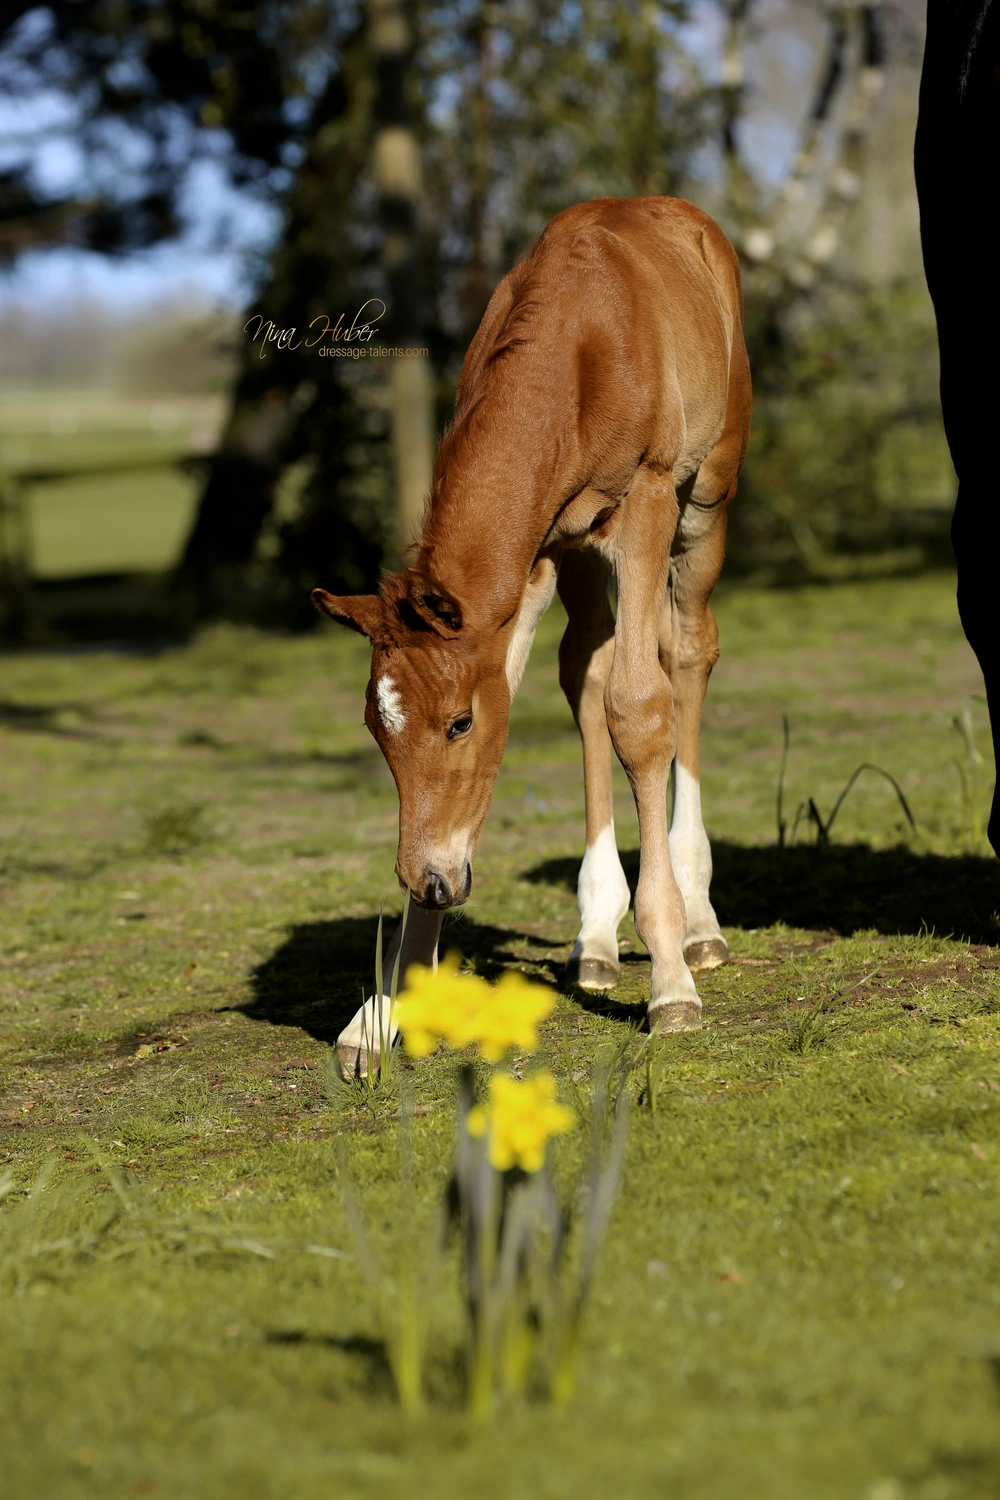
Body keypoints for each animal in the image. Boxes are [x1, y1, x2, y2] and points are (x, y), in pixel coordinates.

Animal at [314, 196, 752, 1075]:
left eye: (456, 723)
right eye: (378, 729)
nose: (428, 881)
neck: (576, 348)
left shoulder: (647, 502)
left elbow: (640, 712)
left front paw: (672, 981)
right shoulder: (533, 558)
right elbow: (548, 704)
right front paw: (381, 1014)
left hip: (706, 497)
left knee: (686, 653)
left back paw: (698, 921)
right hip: (579, 556)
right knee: (587, 669)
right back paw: (595, 937)